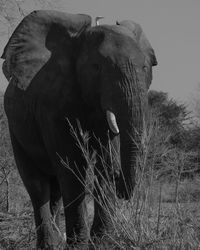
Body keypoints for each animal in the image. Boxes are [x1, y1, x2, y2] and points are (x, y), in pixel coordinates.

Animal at [1, 10, 158, 250]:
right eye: (96, 67)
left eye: (145, 68)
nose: (119, 177)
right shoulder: (52, 105)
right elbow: (73, 166)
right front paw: (79, 245)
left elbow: (104, 160)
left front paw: (102, 243)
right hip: (15, 130)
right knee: (37, 186)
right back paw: (49, 245)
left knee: (55, 188)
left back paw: (57, 241)